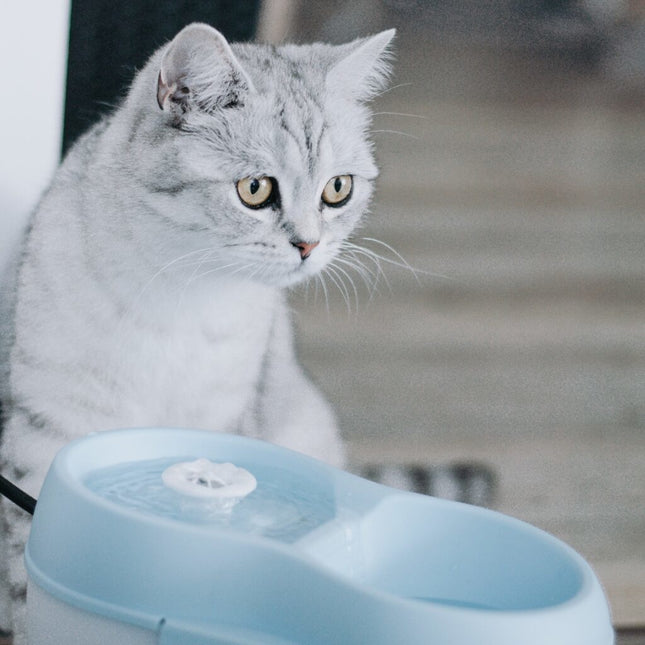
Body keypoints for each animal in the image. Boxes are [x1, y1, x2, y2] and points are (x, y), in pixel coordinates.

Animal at [0, 22, 394, 640]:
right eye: (255, 189)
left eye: (339, 189)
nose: (308, 245)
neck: (184, 295)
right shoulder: (49, 427)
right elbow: (23, 576)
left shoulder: (220, 418)